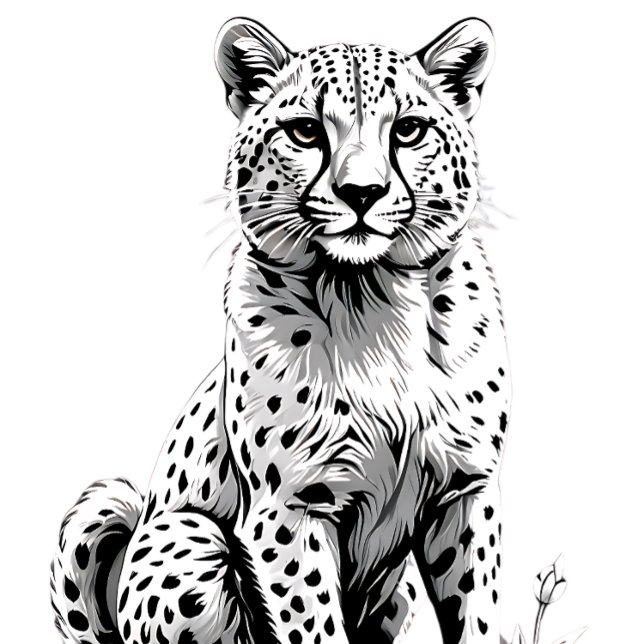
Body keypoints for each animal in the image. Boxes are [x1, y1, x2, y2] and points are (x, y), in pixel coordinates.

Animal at [50, 16, 510, 644]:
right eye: (306, 131)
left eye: (409, 130)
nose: (361, 193)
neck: (371, 300)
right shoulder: (288, 507)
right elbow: (312, 624)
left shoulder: (466, 490)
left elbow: (481, 611)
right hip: (181, 539)